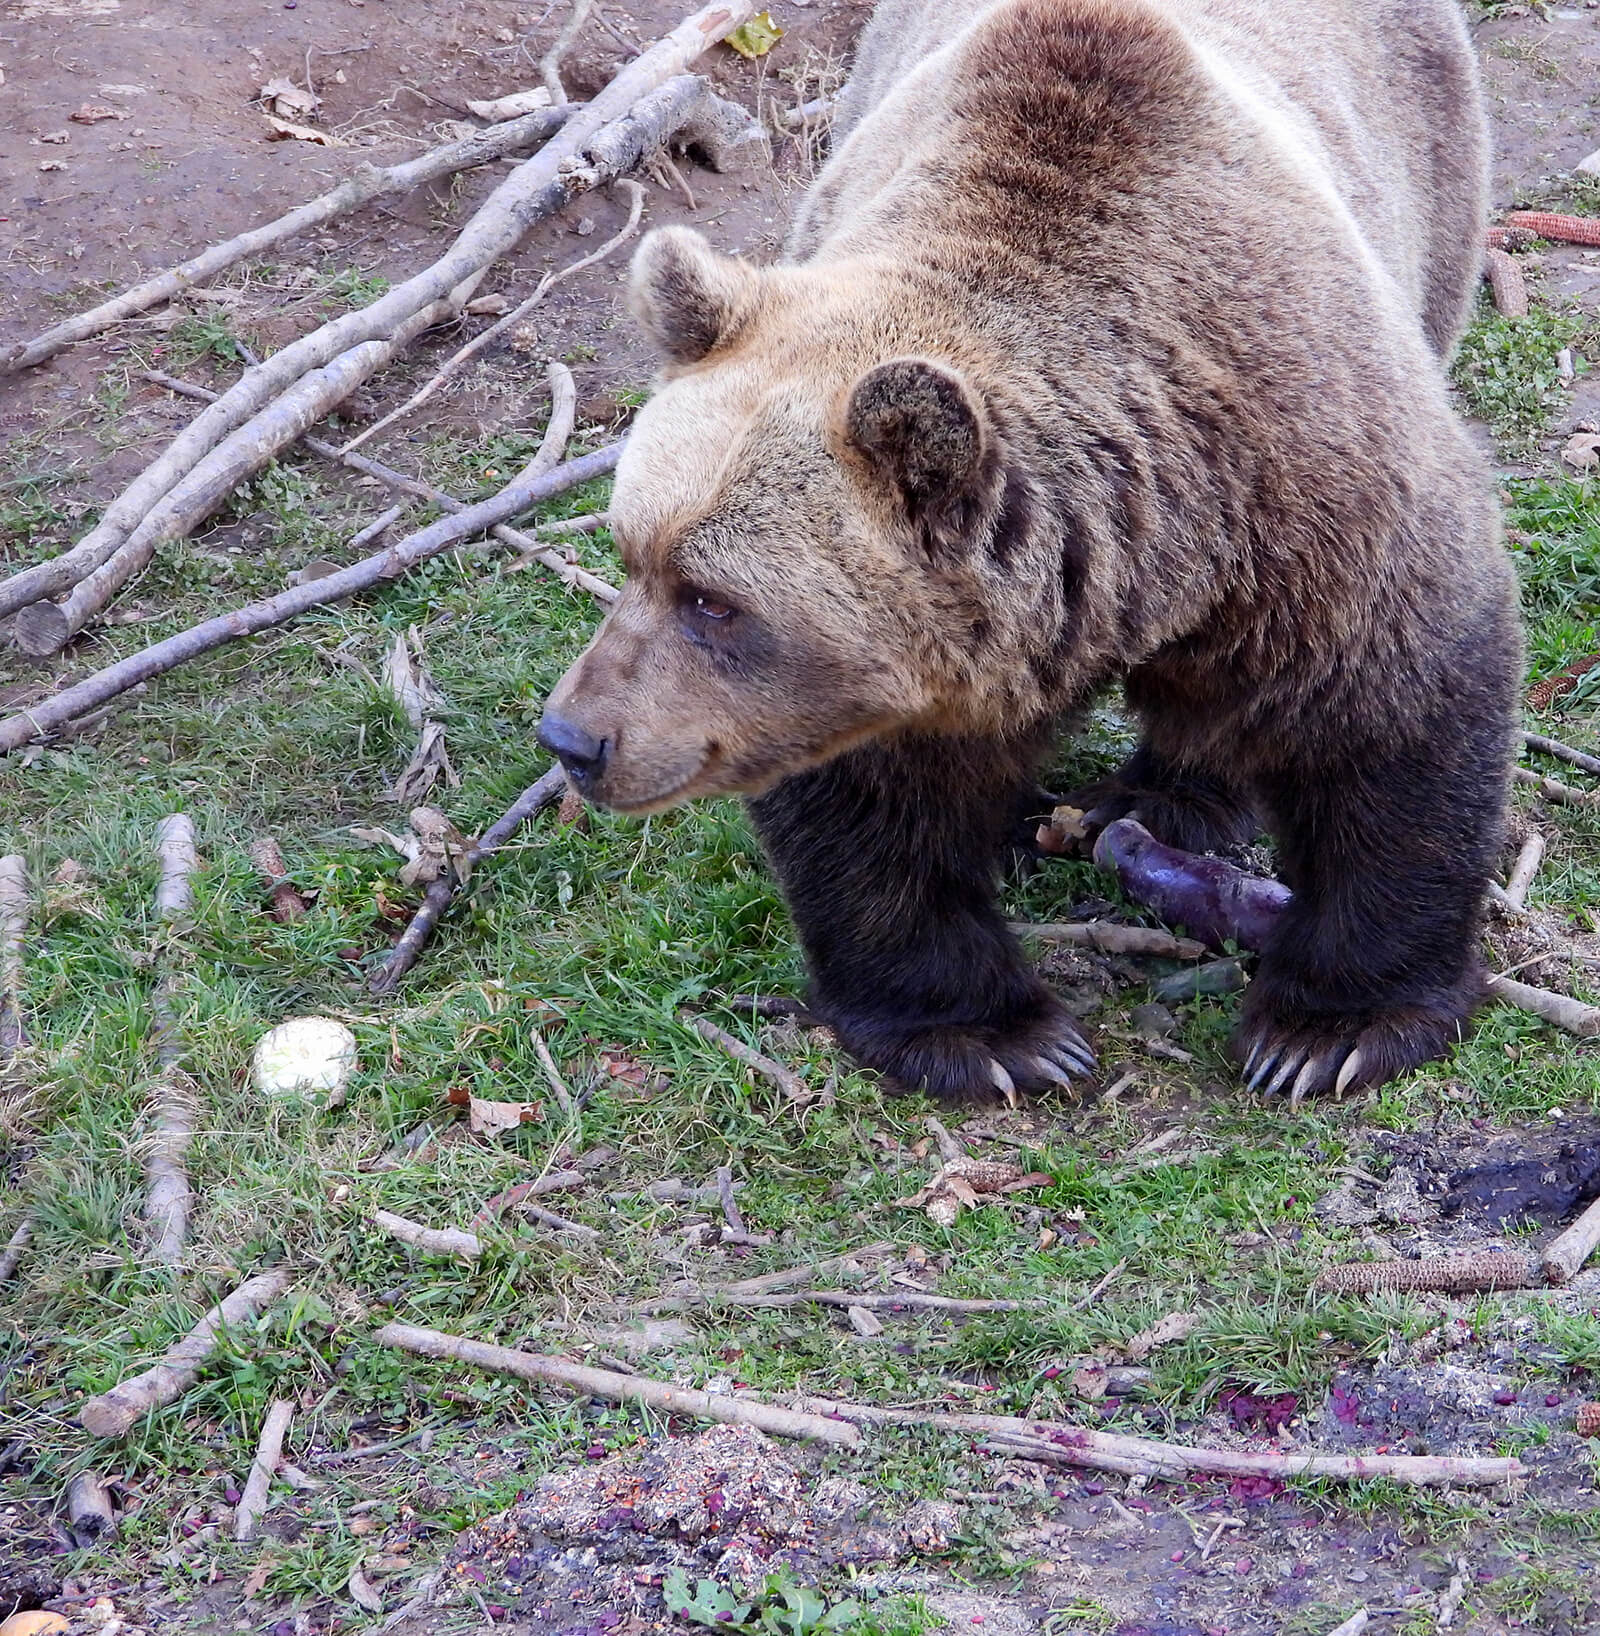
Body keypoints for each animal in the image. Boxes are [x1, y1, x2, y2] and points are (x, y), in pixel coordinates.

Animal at [538, 0, 1521, 1104]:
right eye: (631, 552)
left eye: (712, 598)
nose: (573, 739)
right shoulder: (890, 671)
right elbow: (873, 810)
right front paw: (991, 1035)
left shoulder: (1307, 492)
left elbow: (1392, 716)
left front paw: (1330, 1027)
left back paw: (1171, 801)